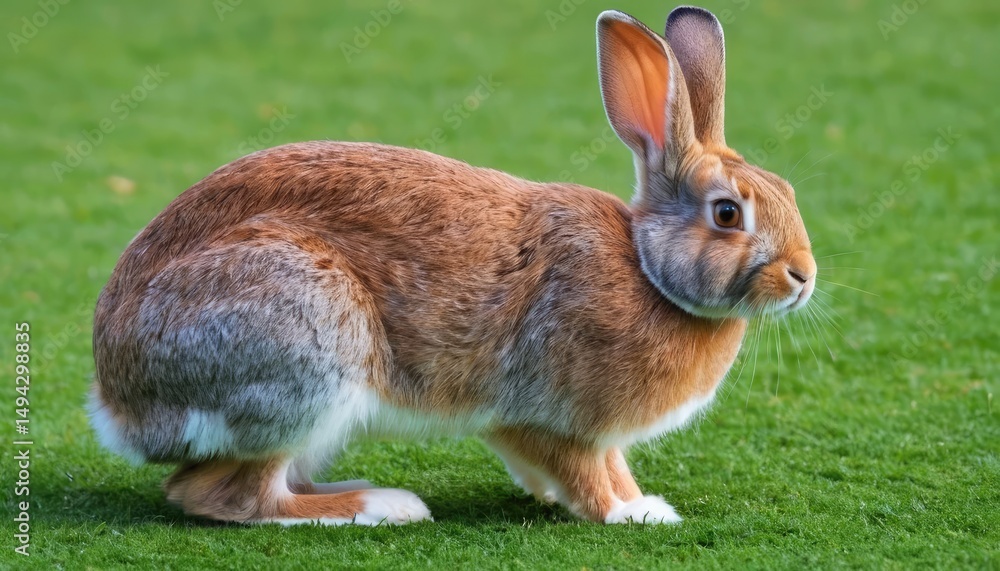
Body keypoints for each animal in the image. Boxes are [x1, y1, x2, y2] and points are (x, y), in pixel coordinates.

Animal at [89, 6, 816, 526]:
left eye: (786, 188)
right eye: (727, 213)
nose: (804, 276)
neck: (648, 270)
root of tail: (119, 401)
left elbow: (607, 465)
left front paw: (631, 498)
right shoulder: (550, 418)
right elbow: (587, 474)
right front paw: (636, 513)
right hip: (302, 353)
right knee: (231, 495)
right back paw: (383, 506)